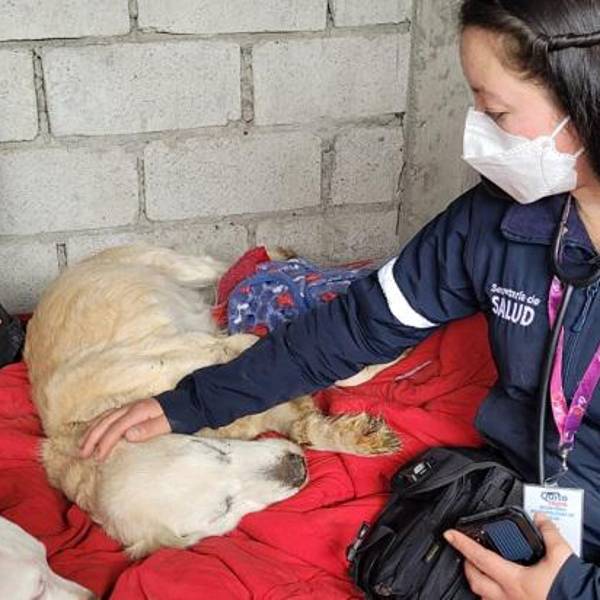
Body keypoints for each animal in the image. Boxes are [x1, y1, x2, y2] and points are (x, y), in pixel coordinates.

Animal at [24, 245, 401, 558]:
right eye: (223, 509)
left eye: (212, 451)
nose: (298, 468)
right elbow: (303, 420)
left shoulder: (227, 352)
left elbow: (322, 361)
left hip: (182, 265)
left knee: (232, 267)